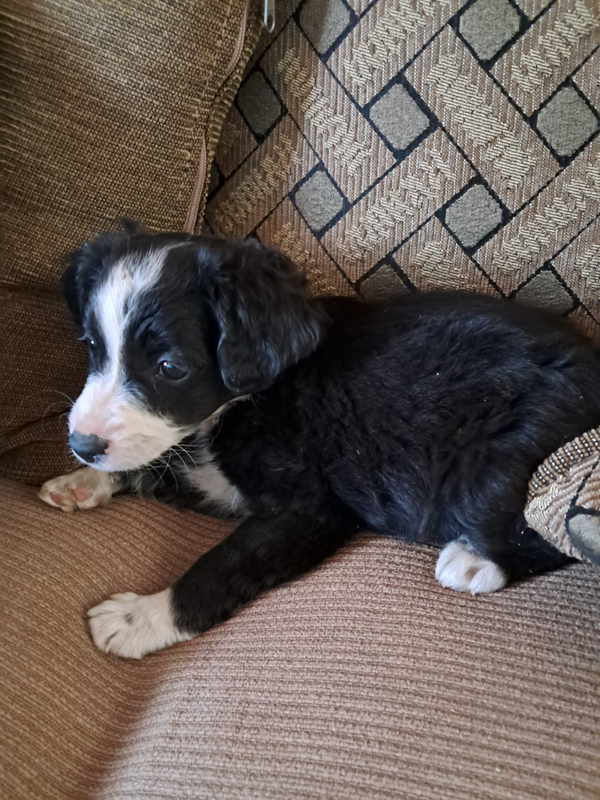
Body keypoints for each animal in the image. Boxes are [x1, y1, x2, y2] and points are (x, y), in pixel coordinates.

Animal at [41, 223, 600, 656]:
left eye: (170, 368)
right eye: (92, 346)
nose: (81, 444)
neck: (244, 400)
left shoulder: (311, 509)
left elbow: (221, 564)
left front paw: (141, 617)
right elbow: (154, 461)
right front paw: (83, 480)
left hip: (495, 455)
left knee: (541, 528)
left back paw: (473, 560)